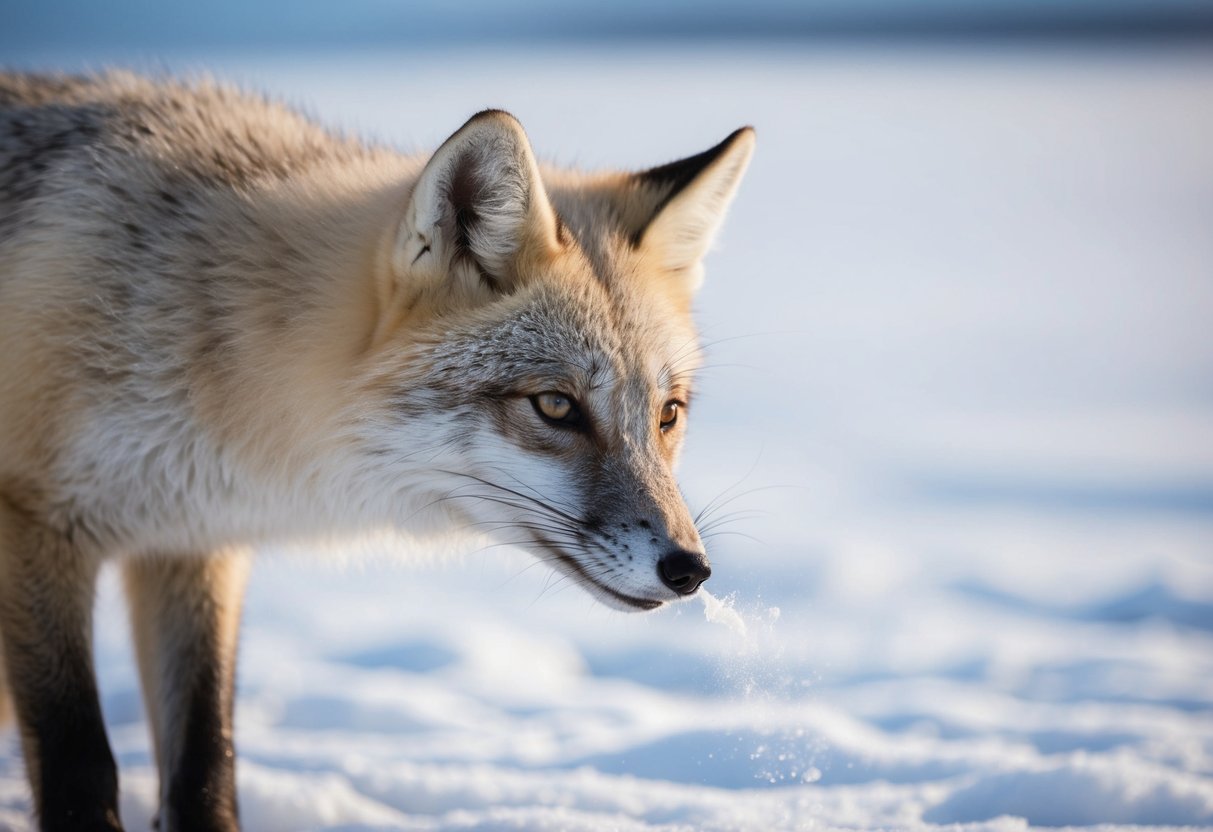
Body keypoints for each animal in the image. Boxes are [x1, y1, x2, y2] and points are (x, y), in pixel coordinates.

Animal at [0, 70, 754, 831]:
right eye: (555, 406)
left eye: (667, 414)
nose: (690, 569)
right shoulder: (37, 521)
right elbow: (79, 761)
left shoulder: (191, 541)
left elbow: (205, 761)